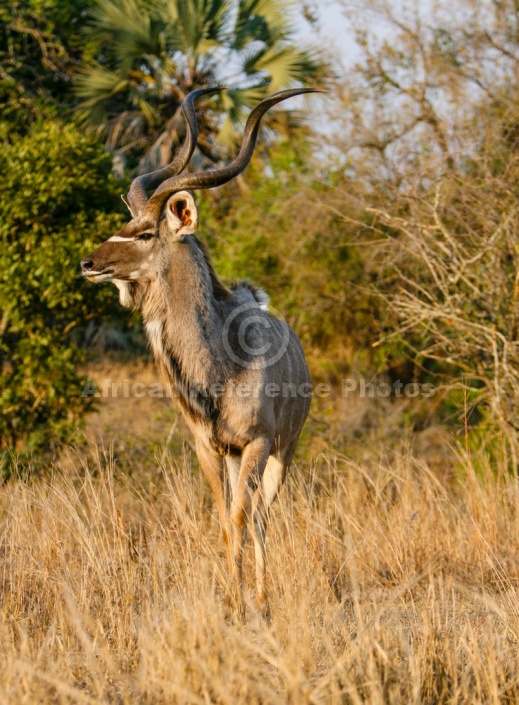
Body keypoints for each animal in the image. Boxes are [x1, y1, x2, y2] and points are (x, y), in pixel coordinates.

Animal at [80, 86, 316, 616]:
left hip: (282, 452)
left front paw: (248, 605)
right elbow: (225, 521)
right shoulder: (208, 448)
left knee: (264, 516)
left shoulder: (258, 443)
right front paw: (231, 601)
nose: (88, 262)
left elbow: (244, 519)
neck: (221, 367)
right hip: (237, 458)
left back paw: (264, 597)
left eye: (145, 232)